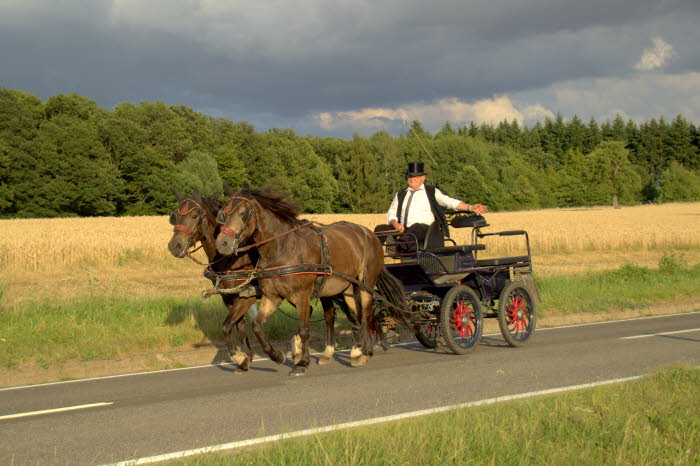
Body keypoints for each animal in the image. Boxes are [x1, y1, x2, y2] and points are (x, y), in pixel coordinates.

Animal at [216, 185, 408, 374]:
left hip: (365, 284)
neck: (282, 248)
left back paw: (364, 352)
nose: (222, 243)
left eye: (243, 213)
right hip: (348, 289)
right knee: (361, 314)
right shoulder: (272, 297)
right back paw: (361, 350)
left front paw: (302, 362)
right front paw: (277, 356)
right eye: (223, 214)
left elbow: (304, 329)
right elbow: (256, 326)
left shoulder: (302, 296)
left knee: (367, 312)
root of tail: (369, 233)